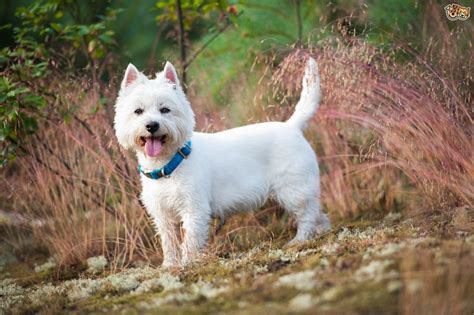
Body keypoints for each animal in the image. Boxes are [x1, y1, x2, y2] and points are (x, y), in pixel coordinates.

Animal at [114, 57, 330, 266]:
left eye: (165, 109)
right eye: (138, 111)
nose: (152, 125)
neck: (167, 165)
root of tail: (292, 126)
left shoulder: (194, 208)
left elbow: (190, 240)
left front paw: (188, 263)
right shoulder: (163, 214)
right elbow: (169, 242)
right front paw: (169, 265)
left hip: (293, 190)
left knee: (307, 214)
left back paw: (299, 240)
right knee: (320, 213)